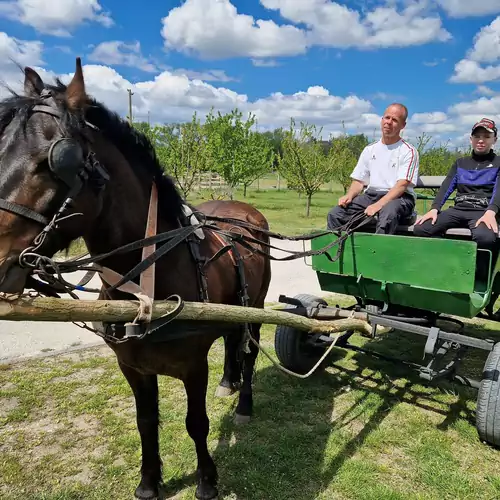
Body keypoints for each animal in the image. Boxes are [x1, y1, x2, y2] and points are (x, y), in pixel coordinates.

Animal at [0, 59, 272, 500]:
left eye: (53, 161)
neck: (145, 286)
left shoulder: (193, 366)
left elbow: (196, 424)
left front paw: (206, 481)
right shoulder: (132, 366)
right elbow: (145, 422)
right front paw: (148, 482)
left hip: (259, 305)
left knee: (248, 349)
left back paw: (244, 400)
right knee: (233, 341)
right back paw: (228, 381)